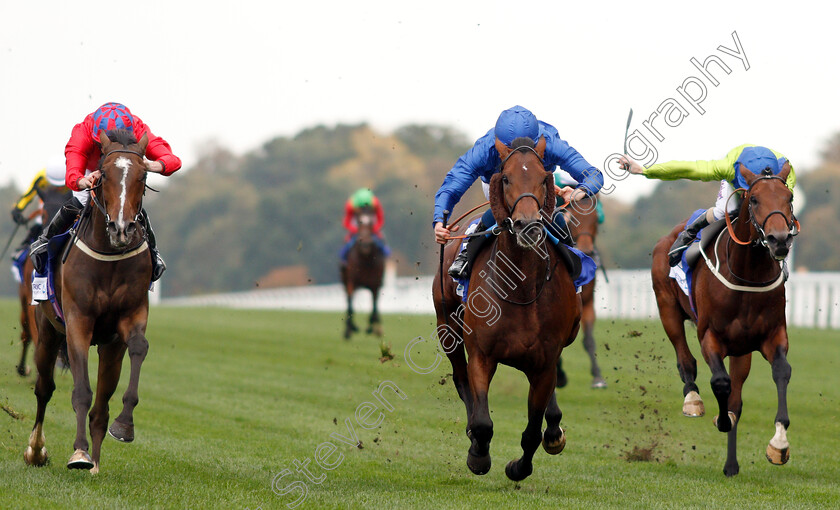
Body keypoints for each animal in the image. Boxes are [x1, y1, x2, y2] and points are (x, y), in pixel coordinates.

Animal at [25, 130, 154, 474]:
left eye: (143, 175)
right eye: (104, 174)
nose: (121, 228)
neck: (109, 254)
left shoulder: (129, 318)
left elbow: (139, 347)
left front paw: (124, 426)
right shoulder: (78, 322)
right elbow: (80, 391)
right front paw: (79, 453)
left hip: (109, 348)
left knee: (101, 406)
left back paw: (95, 462)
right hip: (47, 332)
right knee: (44, 389)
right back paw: (37, 450)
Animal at [340, 209, 386, 340]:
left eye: (371, 223)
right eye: (359, 222)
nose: (366, 244)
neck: (365, 259)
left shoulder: (375, 285)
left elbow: (374, 307)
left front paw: (370, 328)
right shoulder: (351, 282)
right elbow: (350, 305)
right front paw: (351, 329)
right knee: (348, 301)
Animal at [434, 135, 576, 482]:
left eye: (543, 179)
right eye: (507, 178)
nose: (528, 225)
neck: (519, 286)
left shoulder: (544, 362)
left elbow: (532, 431)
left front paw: (518, 467)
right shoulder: (482, 355)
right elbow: (482, 421)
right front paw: (478, 456)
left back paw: (554, 431)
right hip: (447, 330)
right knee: (460, 380)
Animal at [556, 196, 608, 390]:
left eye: (595, 219)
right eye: (572, 219)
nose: (587, 250)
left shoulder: (588, 302)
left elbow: (589, 340)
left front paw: (598, 376)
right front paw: (560, 376)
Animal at [652, 161, 796, 476]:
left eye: (789, 198)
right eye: (754, 200)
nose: (778, 240)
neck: (748, 273)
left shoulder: (772, 336)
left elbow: (781, 372)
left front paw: (779, 444)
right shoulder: (710, 336)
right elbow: (719, 382)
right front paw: (720, 418)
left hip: (742, 350)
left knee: (737, 395)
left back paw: (731, 464)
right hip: (667, 308)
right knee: (685, 359)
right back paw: (693, 400)